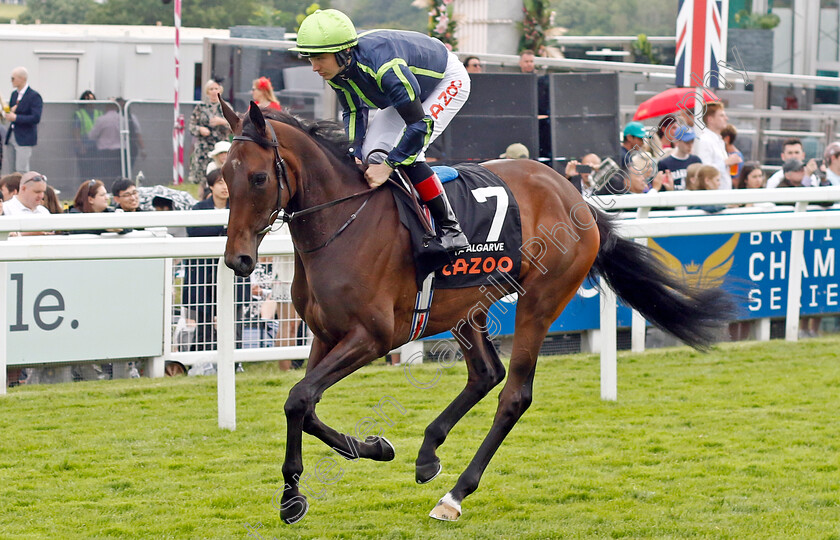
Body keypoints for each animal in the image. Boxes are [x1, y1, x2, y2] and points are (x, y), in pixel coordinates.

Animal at [220, 101, 732, 524]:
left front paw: (292, 495)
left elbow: (298, 399)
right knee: (486, 373)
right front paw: (374, 449)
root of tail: (577, 198)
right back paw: (428, 452)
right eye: (225, 176)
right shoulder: (326, 334)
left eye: (259, 178)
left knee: (514, 394)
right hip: (471, 305)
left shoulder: (373, 337)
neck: (344, 224)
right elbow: (304, 403)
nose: (238, 260)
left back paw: (454, 495)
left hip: (540, 300)